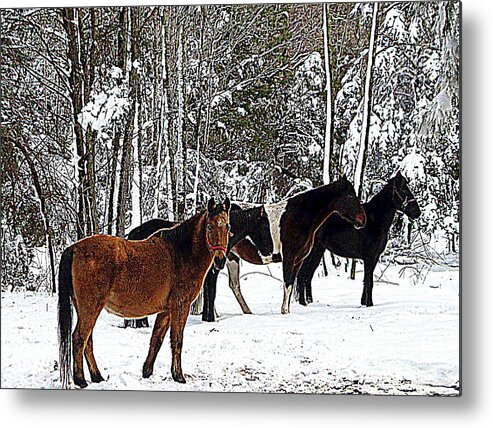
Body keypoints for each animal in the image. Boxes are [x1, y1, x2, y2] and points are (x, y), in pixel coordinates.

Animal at [57, 197, 231, 388]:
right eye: (209, 226)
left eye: (228, 226)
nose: (220, 260)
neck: (181, 253)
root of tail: (74, 248)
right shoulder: (180, 307)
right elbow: (177, 340)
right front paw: (178, 376)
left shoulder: (166, 311)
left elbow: (157, 339)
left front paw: (147, 371)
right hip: (90, 307)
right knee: (79, 338)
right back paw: (80, 380)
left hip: (84, 308)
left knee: (88, 341)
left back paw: (97, 377)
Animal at [127, 204, 272, 320]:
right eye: (265, 225)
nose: (268, 250)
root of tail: (135, 231)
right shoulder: (212, 271)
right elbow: (211, 293)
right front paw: (210, 318)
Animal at [294, 172, 420, 306]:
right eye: (403, 190)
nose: (417, 212)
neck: (375, 220)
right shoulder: (369, 256)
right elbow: (369, 281)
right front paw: (369, 304)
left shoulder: (374, 257)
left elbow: (366, 280)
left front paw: (364, 303)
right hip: (310, 252)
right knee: (302, 275)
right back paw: (303, 303)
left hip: (318, 251)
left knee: (308, 276)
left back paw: (310, 302)